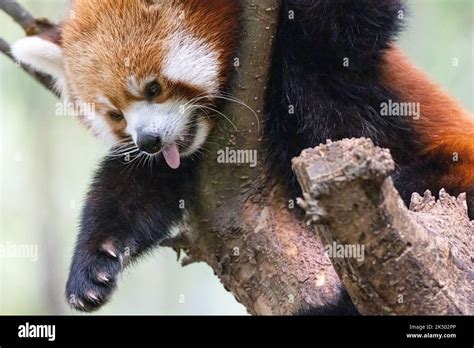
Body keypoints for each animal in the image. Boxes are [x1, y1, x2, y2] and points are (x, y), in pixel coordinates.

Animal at [10, 0, 470, 314]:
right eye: (115, 114)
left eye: (153, 87)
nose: (149, 141)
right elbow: (132, 189)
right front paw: (93, 265)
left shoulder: (324, 58)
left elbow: (342, 32)